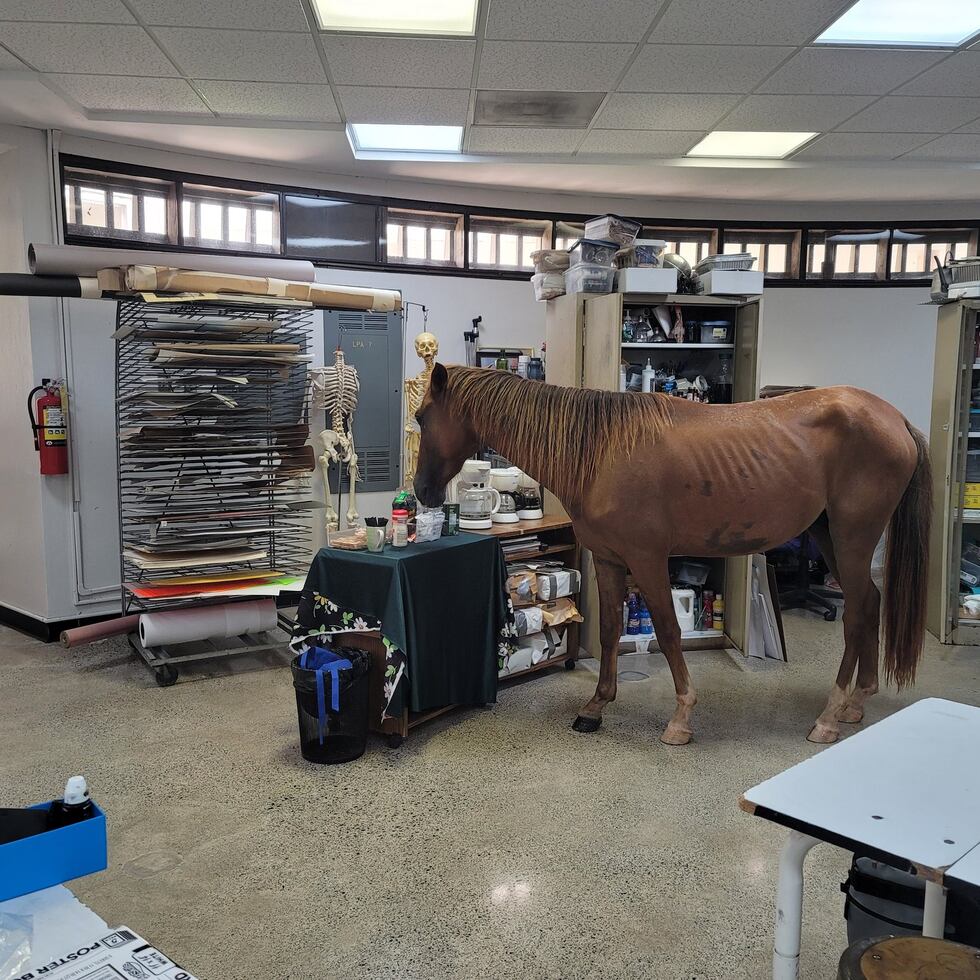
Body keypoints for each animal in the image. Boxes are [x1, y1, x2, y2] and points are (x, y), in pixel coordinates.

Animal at [412, 364, 928, 748]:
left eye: (420, 419)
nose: (422, 493)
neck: (602, 451)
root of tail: (893, 418)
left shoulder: (646, 559)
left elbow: (668, 630)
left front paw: (681, 718)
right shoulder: (608, 560)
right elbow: (609, 630)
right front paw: (595, 707)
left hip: (852, 536)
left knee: (857, 613)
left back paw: (829, 716)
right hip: (830, 536)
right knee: (871, 604)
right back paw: (857, 702)